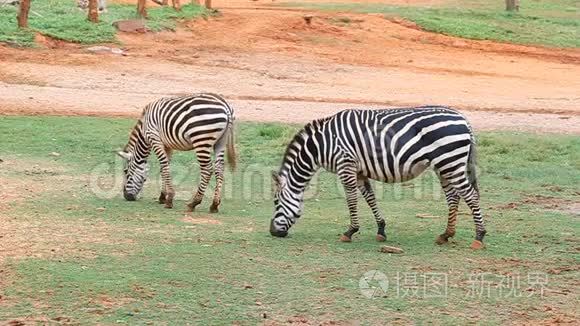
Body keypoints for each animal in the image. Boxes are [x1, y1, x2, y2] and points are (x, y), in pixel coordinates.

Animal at [270, 107, 488, 250]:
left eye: (276, 202)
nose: (273, 232)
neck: (321, 146)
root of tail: (464, 119)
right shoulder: (359, 171)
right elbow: (370, 198)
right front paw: (381, 230)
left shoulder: (345, 165)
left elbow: (351, 200)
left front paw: (349, 232)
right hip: (444, 165)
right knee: (453, 197)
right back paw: (446, 235)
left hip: (450, 161)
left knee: (470, 195)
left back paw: (479, 236)